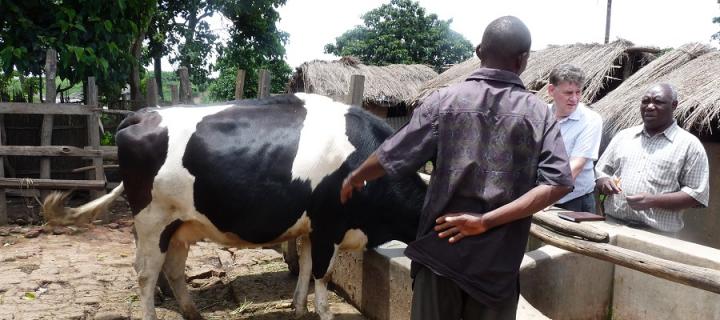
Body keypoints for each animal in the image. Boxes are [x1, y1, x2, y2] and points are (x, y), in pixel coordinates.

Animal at [43, 93, 428, 320]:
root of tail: (141, 115)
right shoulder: (328, 225)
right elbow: (321, 274)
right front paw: (322, 313)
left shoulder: (311, 227)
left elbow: (304, 267)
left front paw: (297, 306)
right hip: (152, 219)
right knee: (145, 272)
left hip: (179, 224)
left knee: (173, 269)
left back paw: (193, 313)